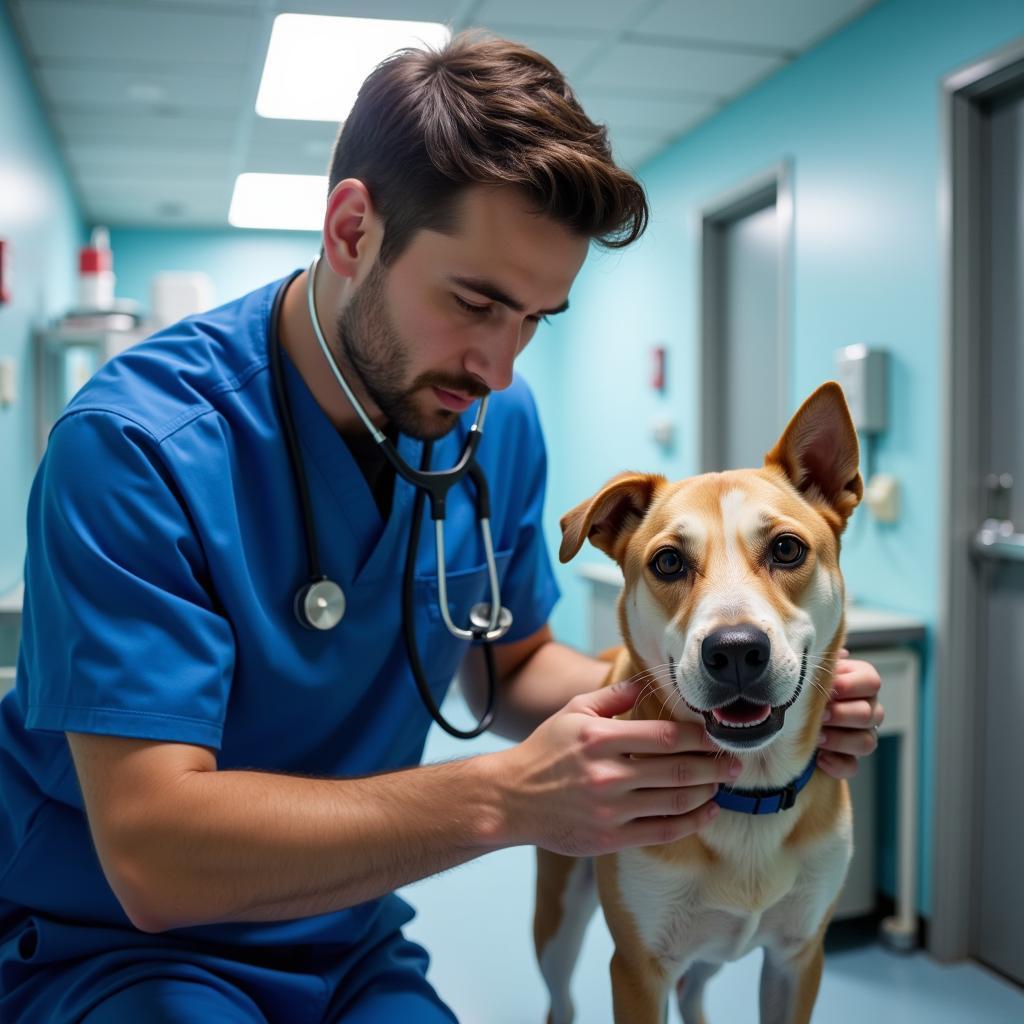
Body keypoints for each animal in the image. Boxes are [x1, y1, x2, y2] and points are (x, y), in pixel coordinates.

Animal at [536, 380, 864, 1019]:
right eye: (668, 561)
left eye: (787, 550)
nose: (735, 651)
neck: (750, 792)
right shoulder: (637, 970)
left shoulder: (797, 958)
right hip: (558, 920)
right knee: (560, 999)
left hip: (713, 949)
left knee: (693, 990)